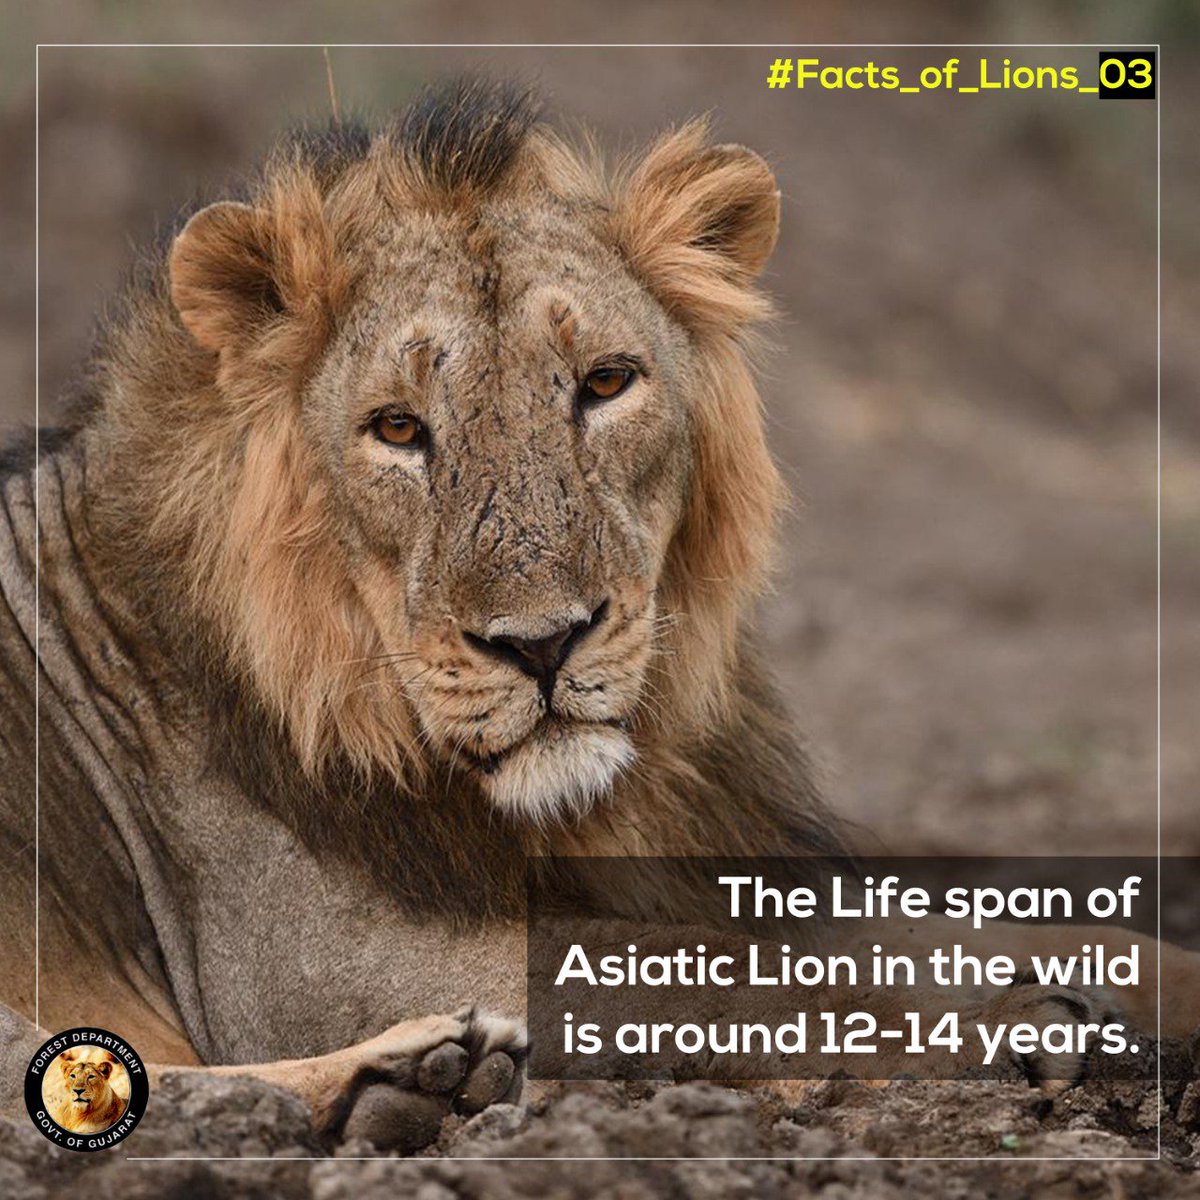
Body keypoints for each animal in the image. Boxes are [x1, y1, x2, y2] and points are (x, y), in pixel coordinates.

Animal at [0, 79, 1195, 1152]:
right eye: (397, 427)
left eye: (606, 383)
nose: (541, 645)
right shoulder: (306, 962)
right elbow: (709, 983)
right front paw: (1017, 1023)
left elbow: (1002, 930)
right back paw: (411, 1088)